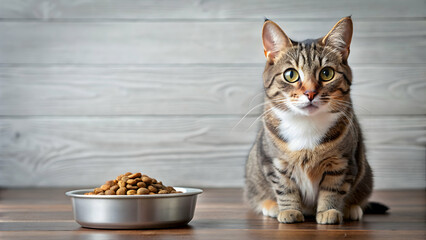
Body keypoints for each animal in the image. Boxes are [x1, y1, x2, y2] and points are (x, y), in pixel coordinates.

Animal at [243, 16, 386, 225]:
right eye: (291, 74)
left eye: (327, 73)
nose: (310, 93)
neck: (306, 125)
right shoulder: (275, 162)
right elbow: (285, 188)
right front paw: (289, 211)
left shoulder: (341, 162)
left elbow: (333, 189)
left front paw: (329, 211)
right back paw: (271, 206)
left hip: (365, 174)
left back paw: (352, 208)